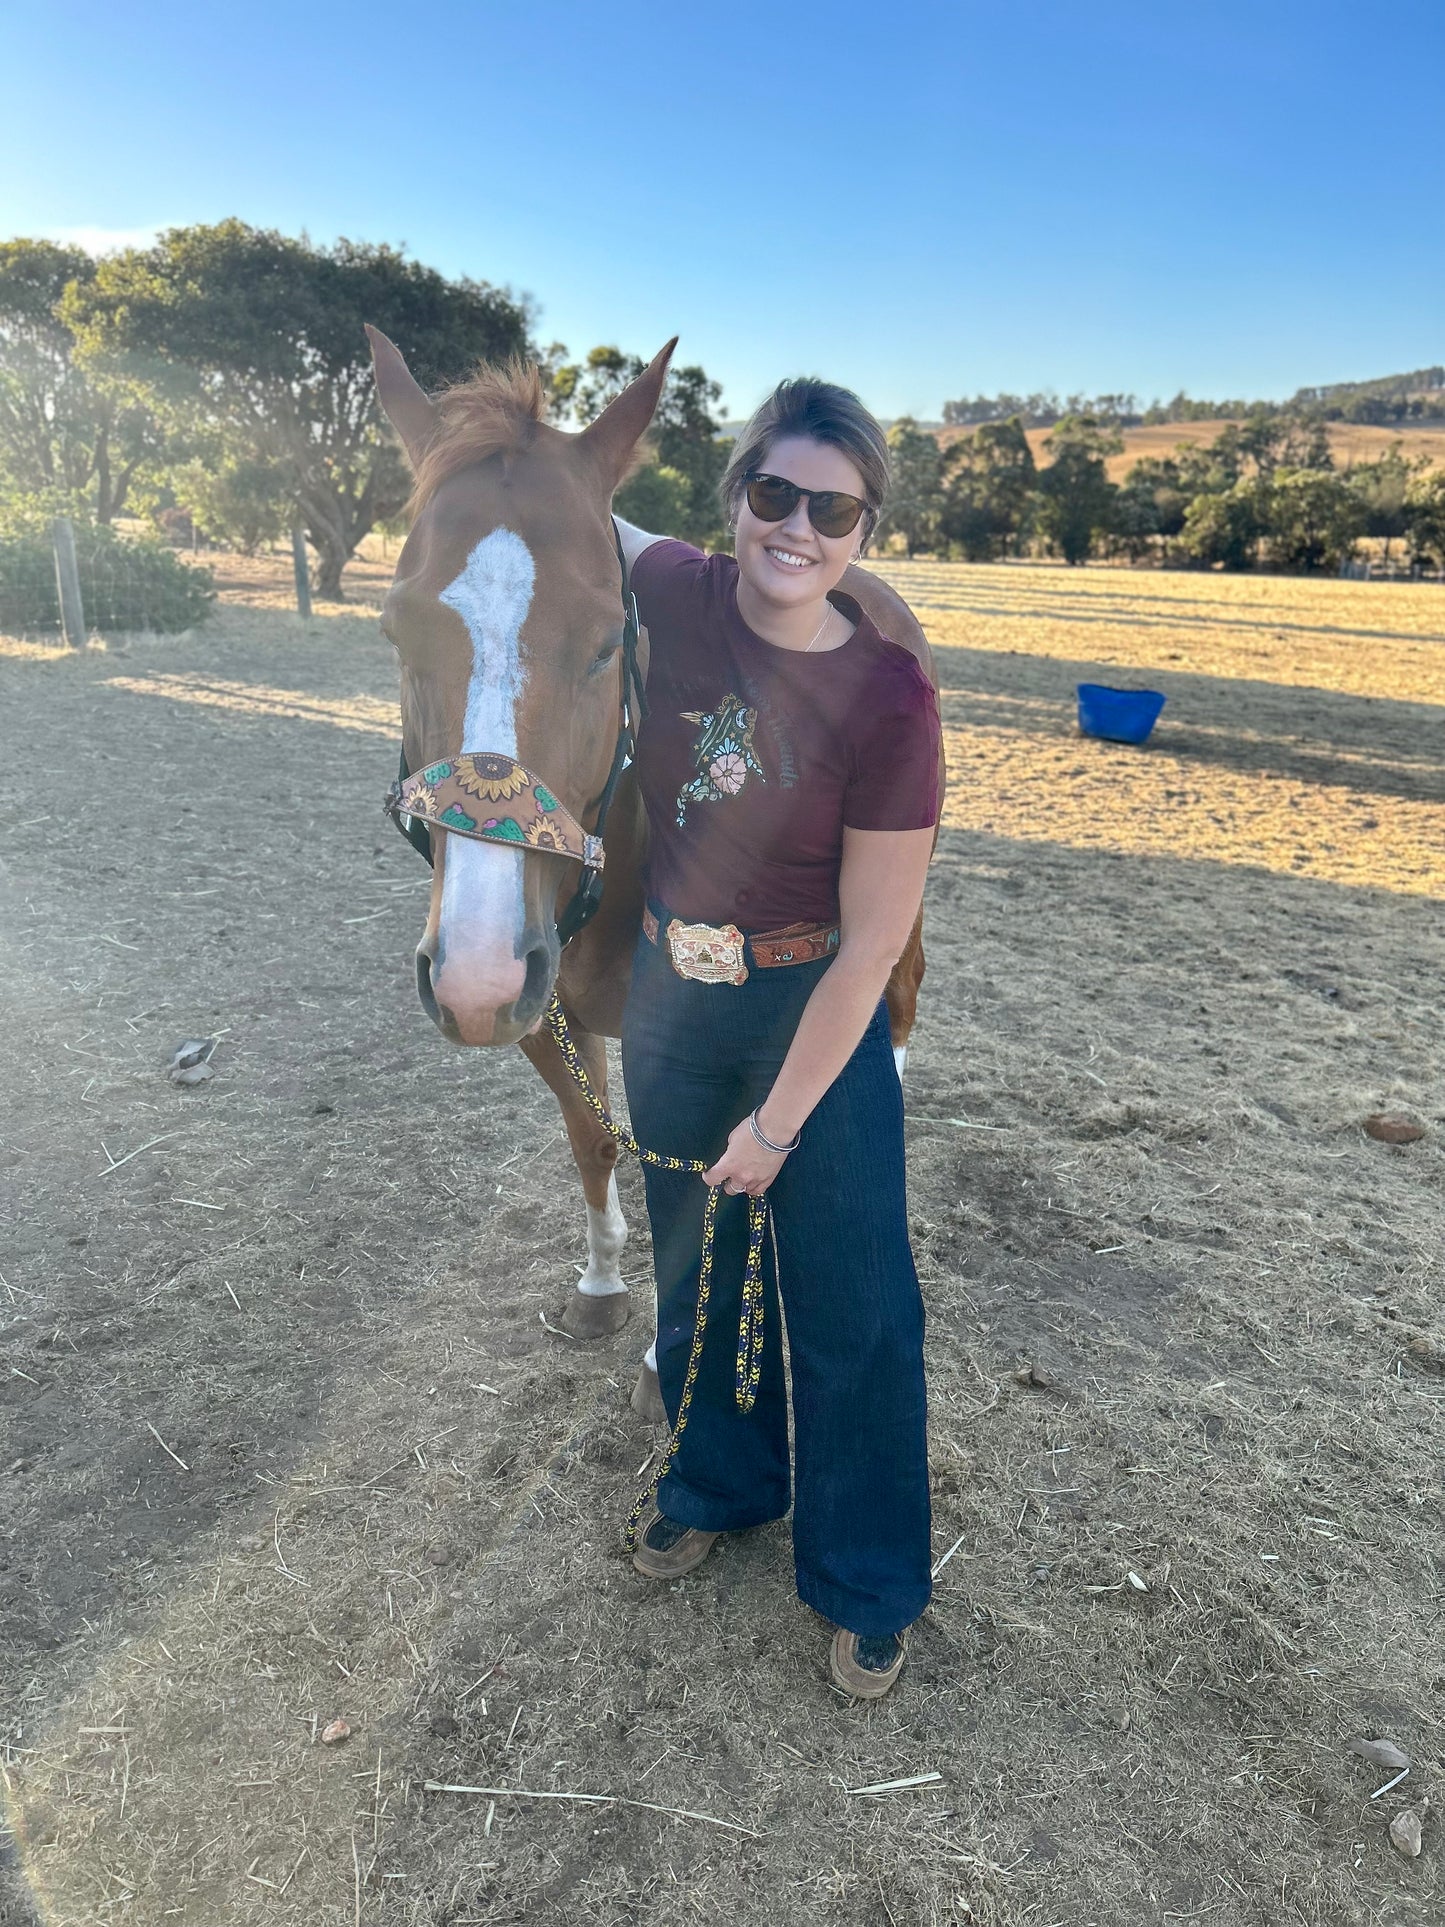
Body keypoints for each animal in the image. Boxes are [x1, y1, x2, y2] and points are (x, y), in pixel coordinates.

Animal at [367, 327, 940, 1418]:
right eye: (395, 630)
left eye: (606, 643)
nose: (475, 975)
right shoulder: (542, 1011)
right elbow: (595, 1144)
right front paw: (600, 1284)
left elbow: (704, 1184)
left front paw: (663, 1361)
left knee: (892, 993)